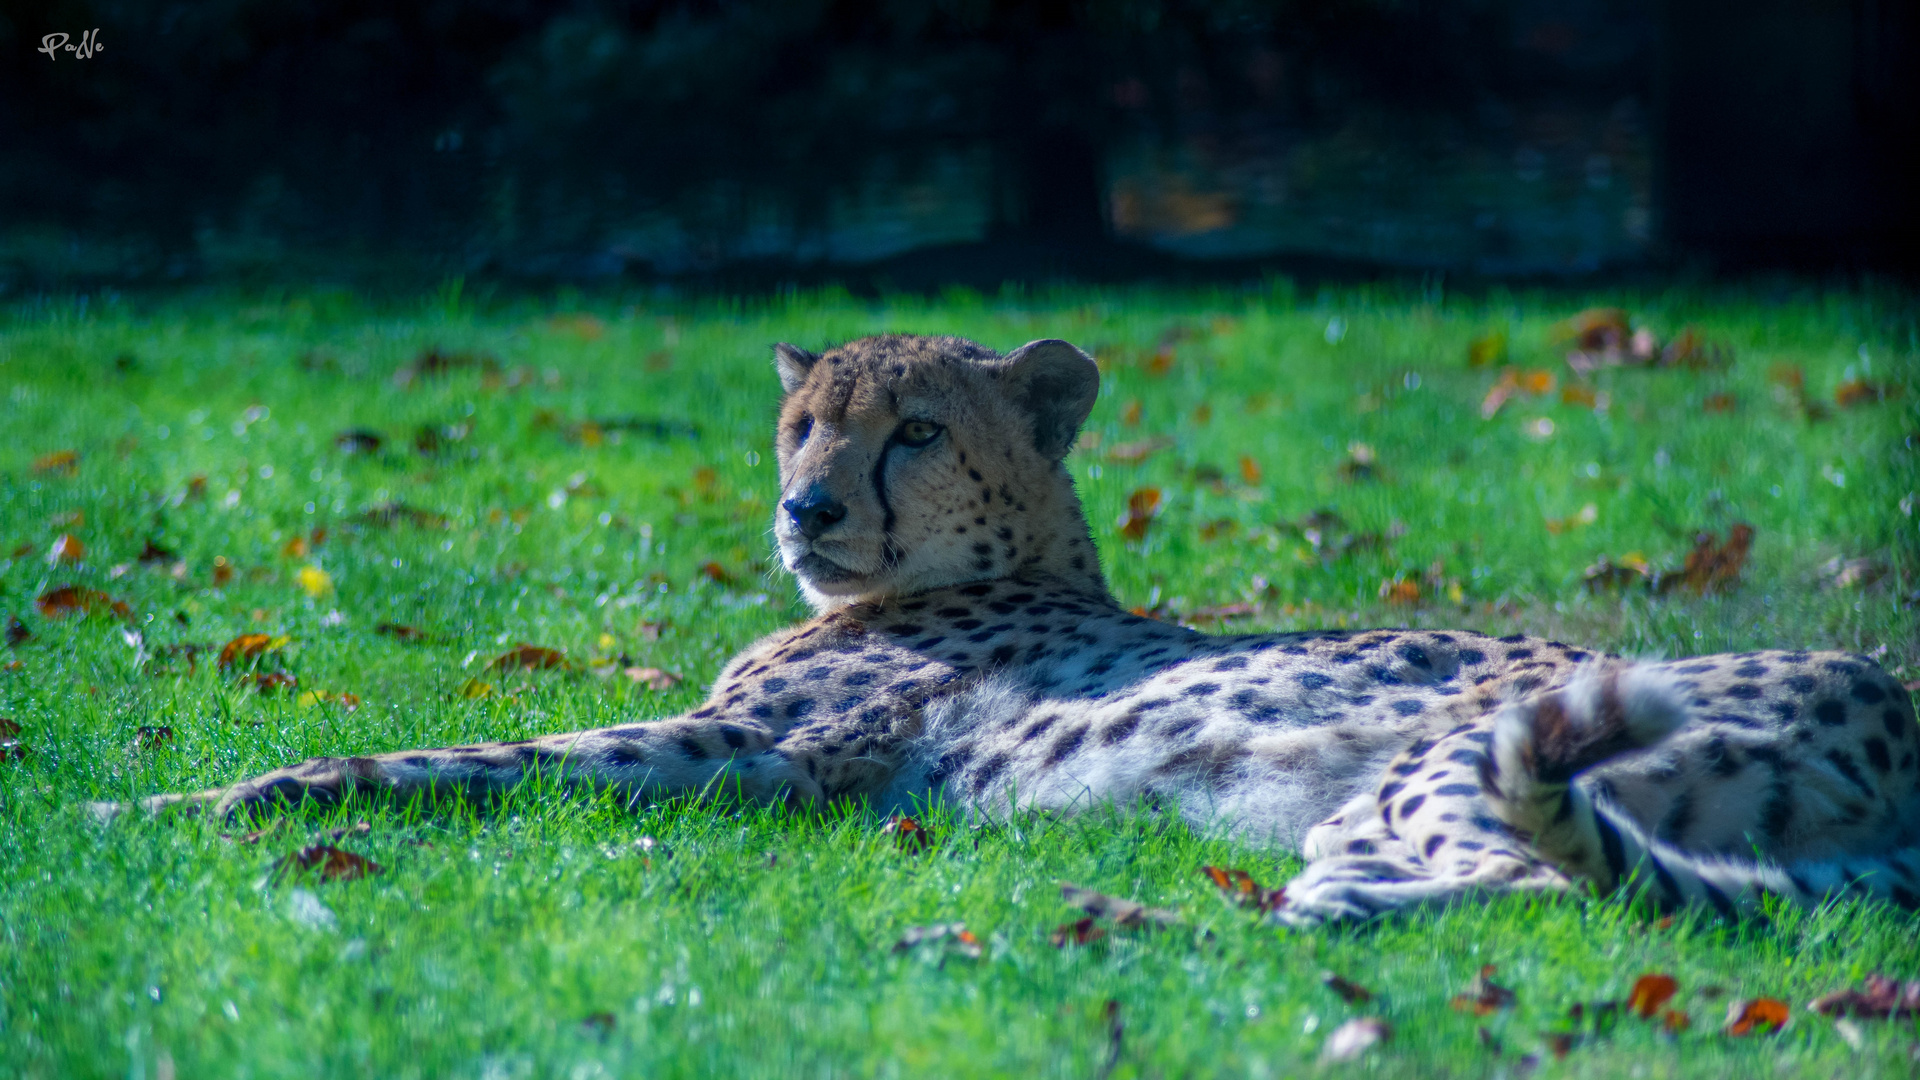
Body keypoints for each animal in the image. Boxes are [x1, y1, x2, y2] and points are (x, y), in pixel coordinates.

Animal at [120, 332, 1920, 922]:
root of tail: (1881, 703)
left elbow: (427, 757)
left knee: (1528, 898)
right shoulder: (757, 761)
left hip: (1450, 771)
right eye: (802, 427)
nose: (806, 510)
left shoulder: (752, 750)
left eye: (912, 431)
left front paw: (165, 802)